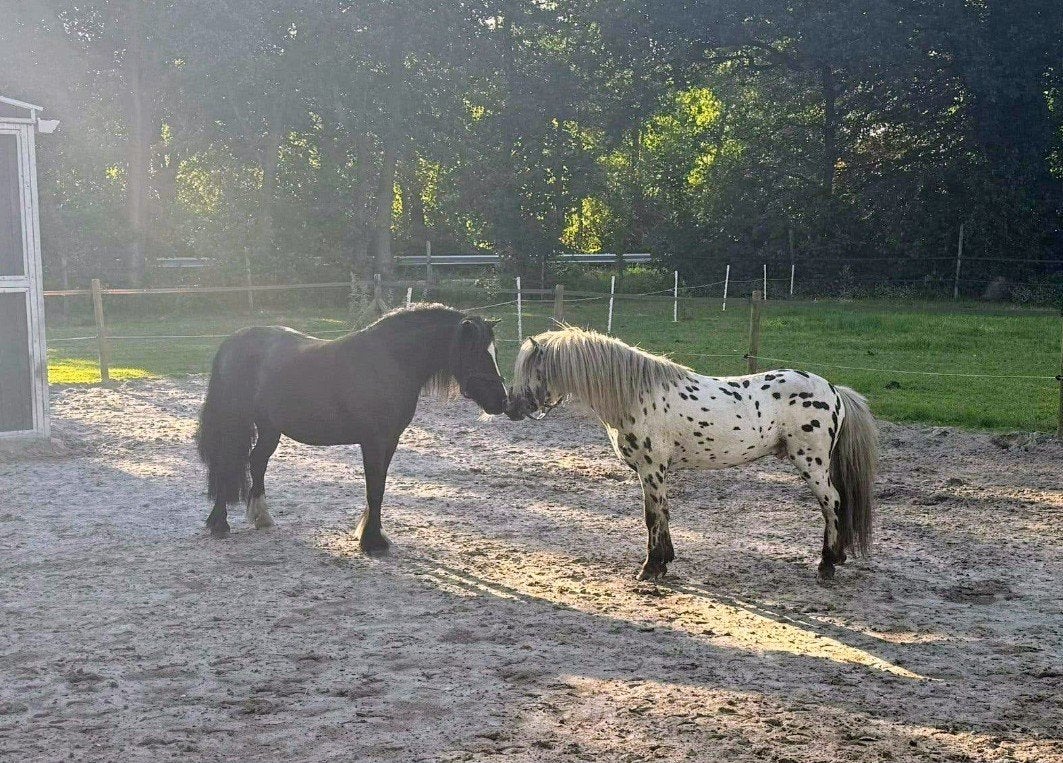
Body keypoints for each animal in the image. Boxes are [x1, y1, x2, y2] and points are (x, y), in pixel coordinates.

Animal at [196, 303, 509, 553]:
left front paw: (372, 534)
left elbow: (379, 485)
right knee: (227, 464)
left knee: (257, 461)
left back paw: (262, 518)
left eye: (494, 352)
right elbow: (374, 488)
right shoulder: (373, 441)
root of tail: (233, 342)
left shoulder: (390, 440)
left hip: (270, 427)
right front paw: (372, 542)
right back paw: (219, 523)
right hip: (235, 422)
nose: (502, 400)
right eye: (476, 353)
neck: (389, 362)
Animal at [505, 326, 878, 581]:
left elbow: (653, 516)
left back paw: (827, 564)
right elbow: (659, 514)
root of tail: (833, 390)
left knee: (832, 503)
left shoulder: (652, 469)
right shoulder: (650, 472)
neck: (635, 395)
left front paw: (650, 568)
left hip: (811, 464)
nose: (513, 408)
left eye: (532, 372)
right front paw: (664, 561)